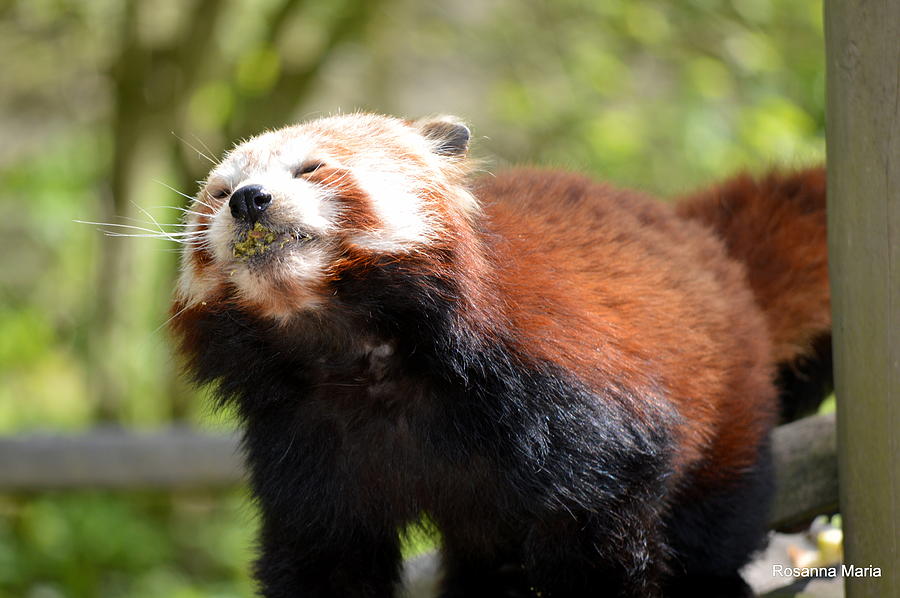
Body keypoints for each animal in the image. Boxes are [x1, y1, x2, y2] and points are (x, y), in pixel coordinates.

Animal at [169, 113, 828, 598]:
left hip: (727, 405)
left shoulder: (557, 388)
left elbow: (601, 525)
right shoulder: (302, 436)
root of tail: (701, 241)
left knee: (712, 524)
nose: (250, 201)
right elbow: (324, 557)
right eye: (219, 194)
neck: (358, 354)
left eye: (311, 167)